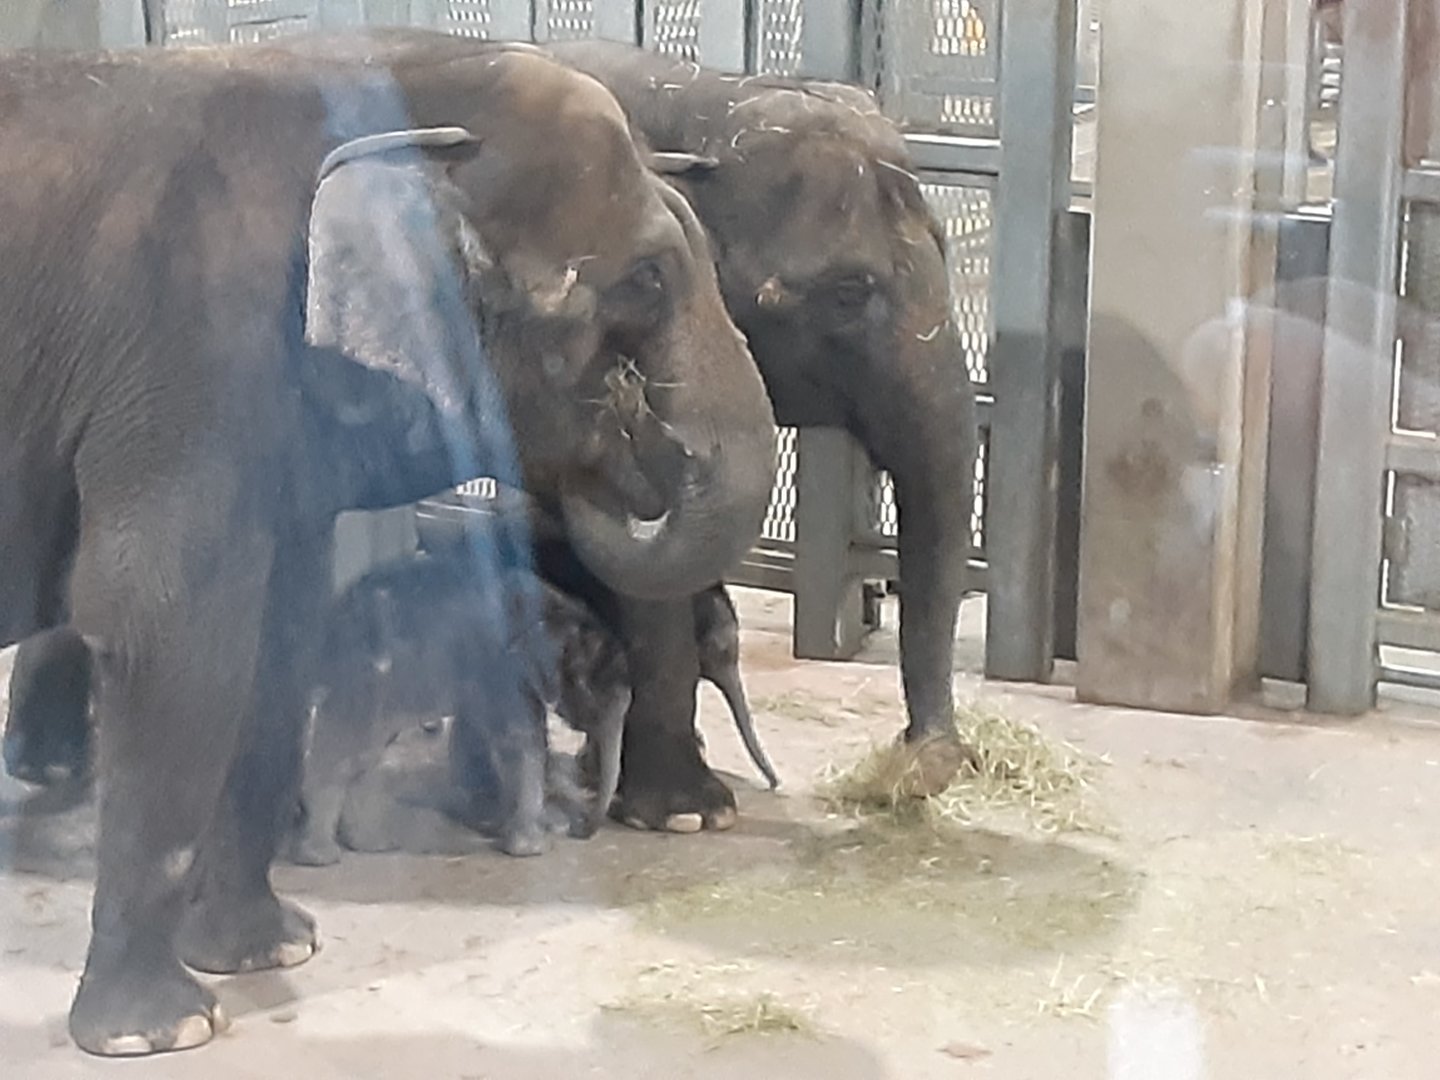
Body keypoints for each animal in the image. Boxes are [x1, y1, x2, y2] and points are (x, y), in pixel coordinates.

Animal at [0, 33, 774, 1057]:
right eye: (645, 278)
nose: (641, 431)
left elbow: (278, 637)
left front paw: (270, 952)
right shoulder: (189, 356)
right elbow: (172, 635)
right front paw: (164, 1033)